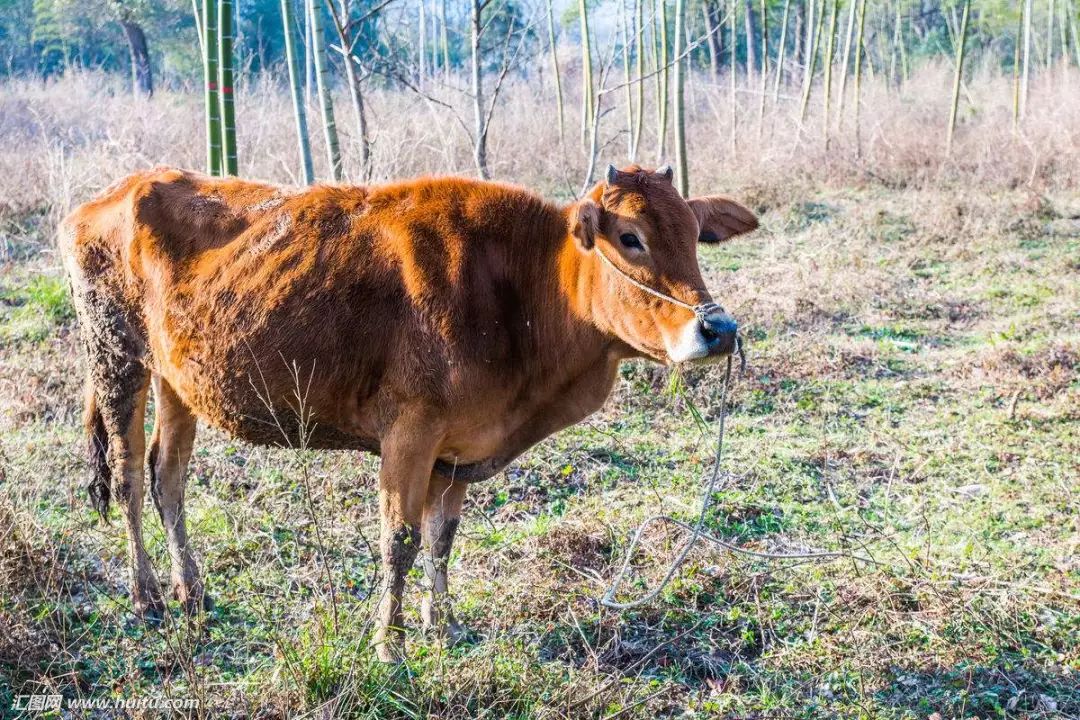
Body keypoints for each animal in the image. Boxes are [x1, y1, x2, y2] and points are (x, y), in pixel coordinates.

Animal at [56, 166, 751, 660]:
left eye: (695, 236)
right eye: (631, 239)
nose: (718, 329)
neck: (521, 292)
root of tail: (115, 192)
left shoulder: (457, 450)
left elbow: (442, 539)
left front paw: (442, 627)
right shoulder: (409, 435)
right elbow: (400, 540)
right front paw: (388, 646)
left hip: (179, 381)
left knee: (168, 477)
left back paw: (192, 593)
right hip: (116, 358)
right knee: (129, 478)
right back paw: (147, 598)